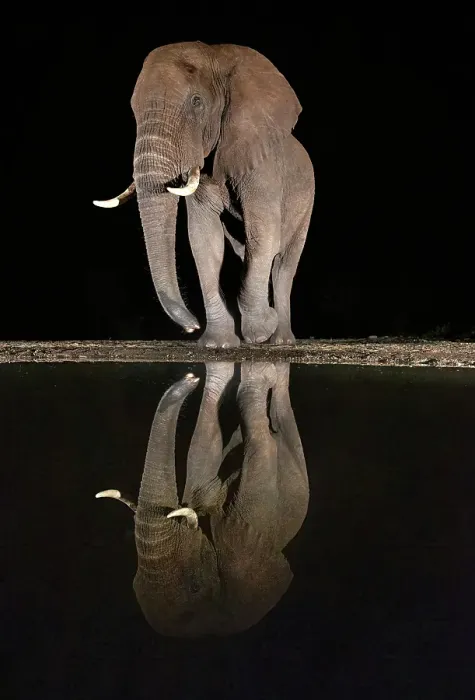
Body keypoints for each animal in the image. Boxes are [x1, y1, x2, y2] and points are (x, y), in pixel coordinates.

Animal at [93, 41, 315, 347]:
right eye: (134, 110)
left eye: (196, 102)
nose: (191, 327)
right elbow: (203, 239)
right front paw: (217, 344)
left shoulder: (263, 166)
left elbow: (264, 233)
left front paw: (260, 332)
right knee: (244, 251)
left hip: (306, 202)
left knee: (283, 263)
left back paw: (279, 340)